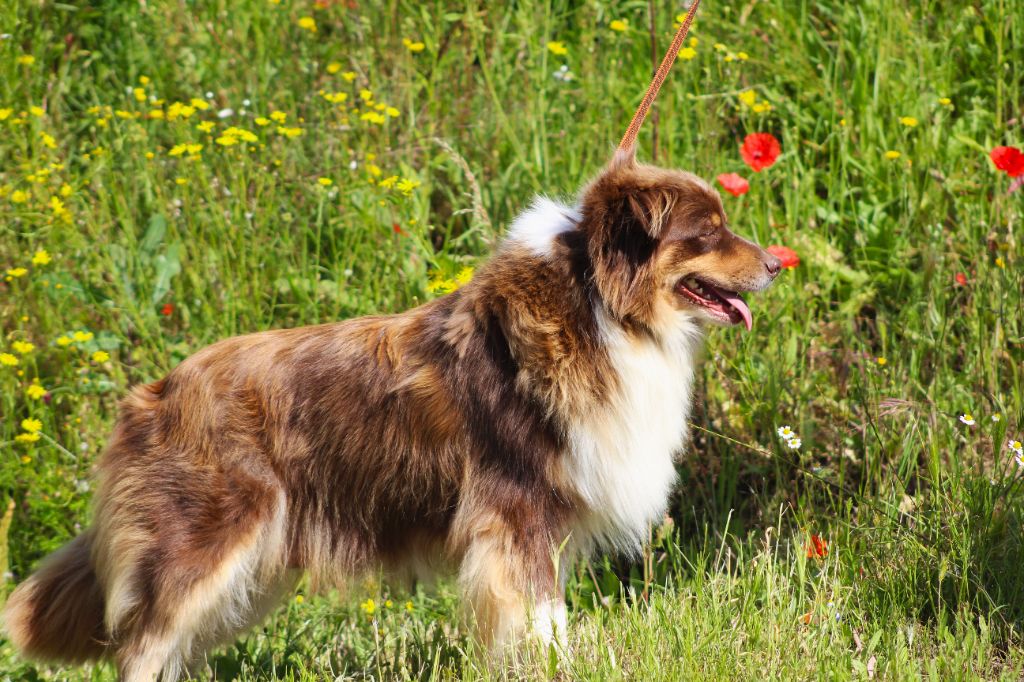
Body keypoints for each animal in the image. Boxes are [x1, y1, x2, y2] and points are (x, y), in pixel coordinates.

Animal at [4, 147, 778, 675]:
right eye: (709, 231)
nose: (776, 262)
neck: (602, 309)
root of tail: (150, 397)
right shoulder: (517, 515)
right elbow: (542, 622)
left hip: (249, 572)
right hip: (203, 544)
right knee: (140, 647)